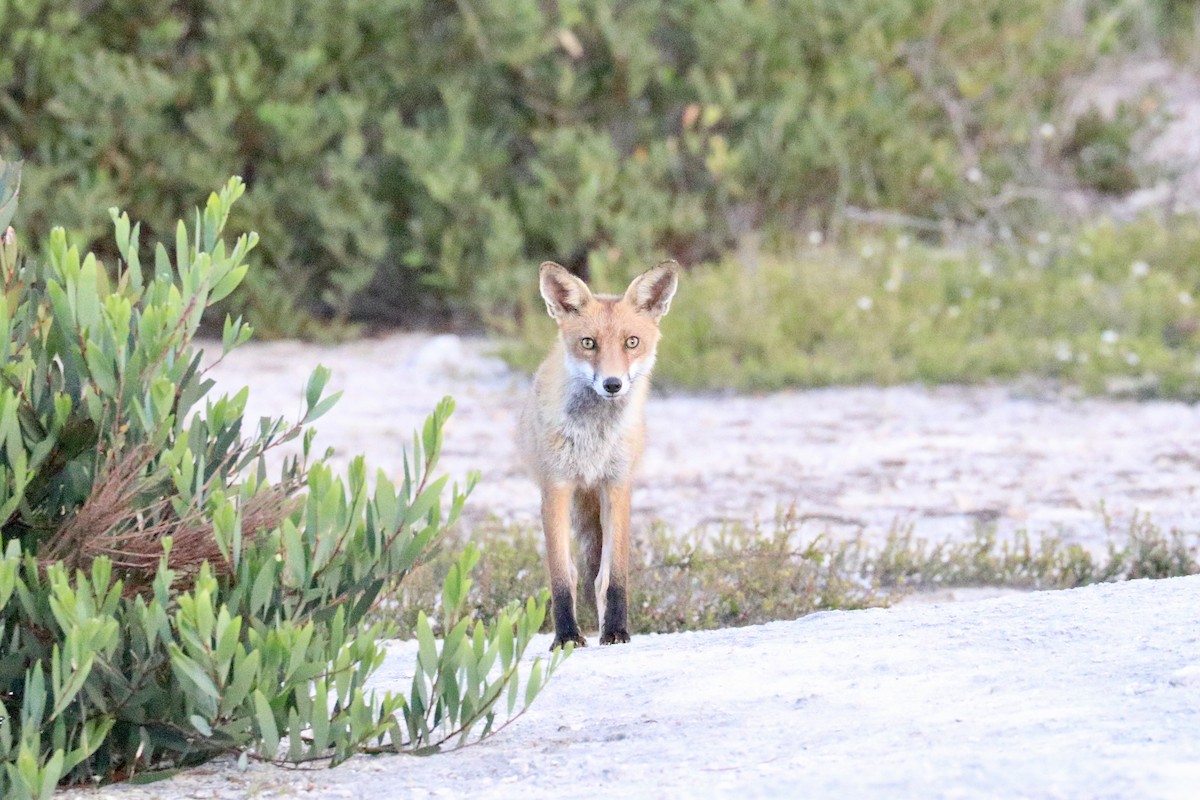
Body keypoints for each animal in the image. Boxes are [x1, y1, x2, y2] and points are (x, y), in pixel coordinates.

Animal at [518, 259, 679, 650]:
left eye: (632, 342)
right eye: (588, 343)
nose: (612, 384)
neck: (594, 439)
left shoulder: (617, 485)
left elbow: (613, 575)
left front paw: (616, 631)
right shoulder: (556, 487)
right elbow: (563, 576)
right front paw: (566, 636)